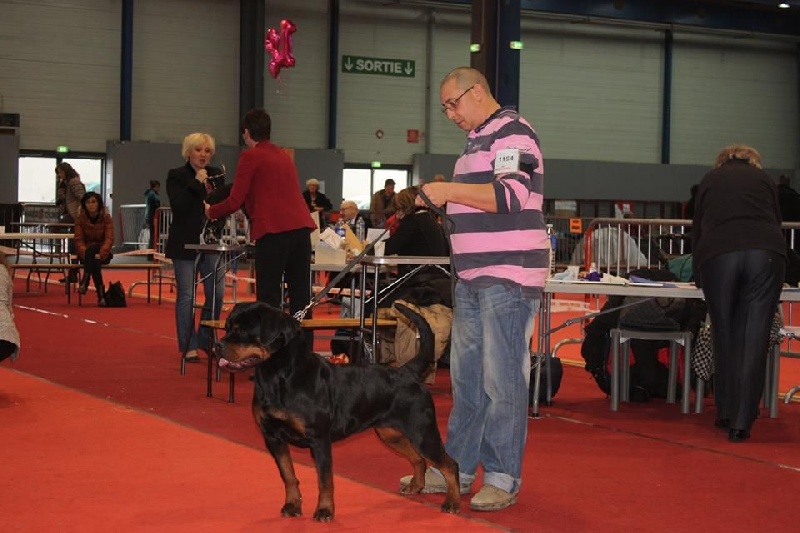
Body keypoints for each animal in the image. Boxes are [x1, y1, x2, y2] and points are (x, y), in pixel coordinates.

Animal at [216, 301, 460, 522]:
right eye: (227, 327)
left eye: (242, 331)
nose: (218, 345)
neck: (277, 376)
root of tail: (407, 372)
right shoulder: (272, 437)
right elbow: (288, 475)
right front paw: (292, 505)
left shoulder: (318, 439)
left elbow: (325, 480)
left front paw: (325, 511)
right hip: (390, 433)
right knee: (418, 458)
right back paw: (415, 486)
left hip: (422, 431)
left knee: (449, 463)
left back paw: (452, 502)